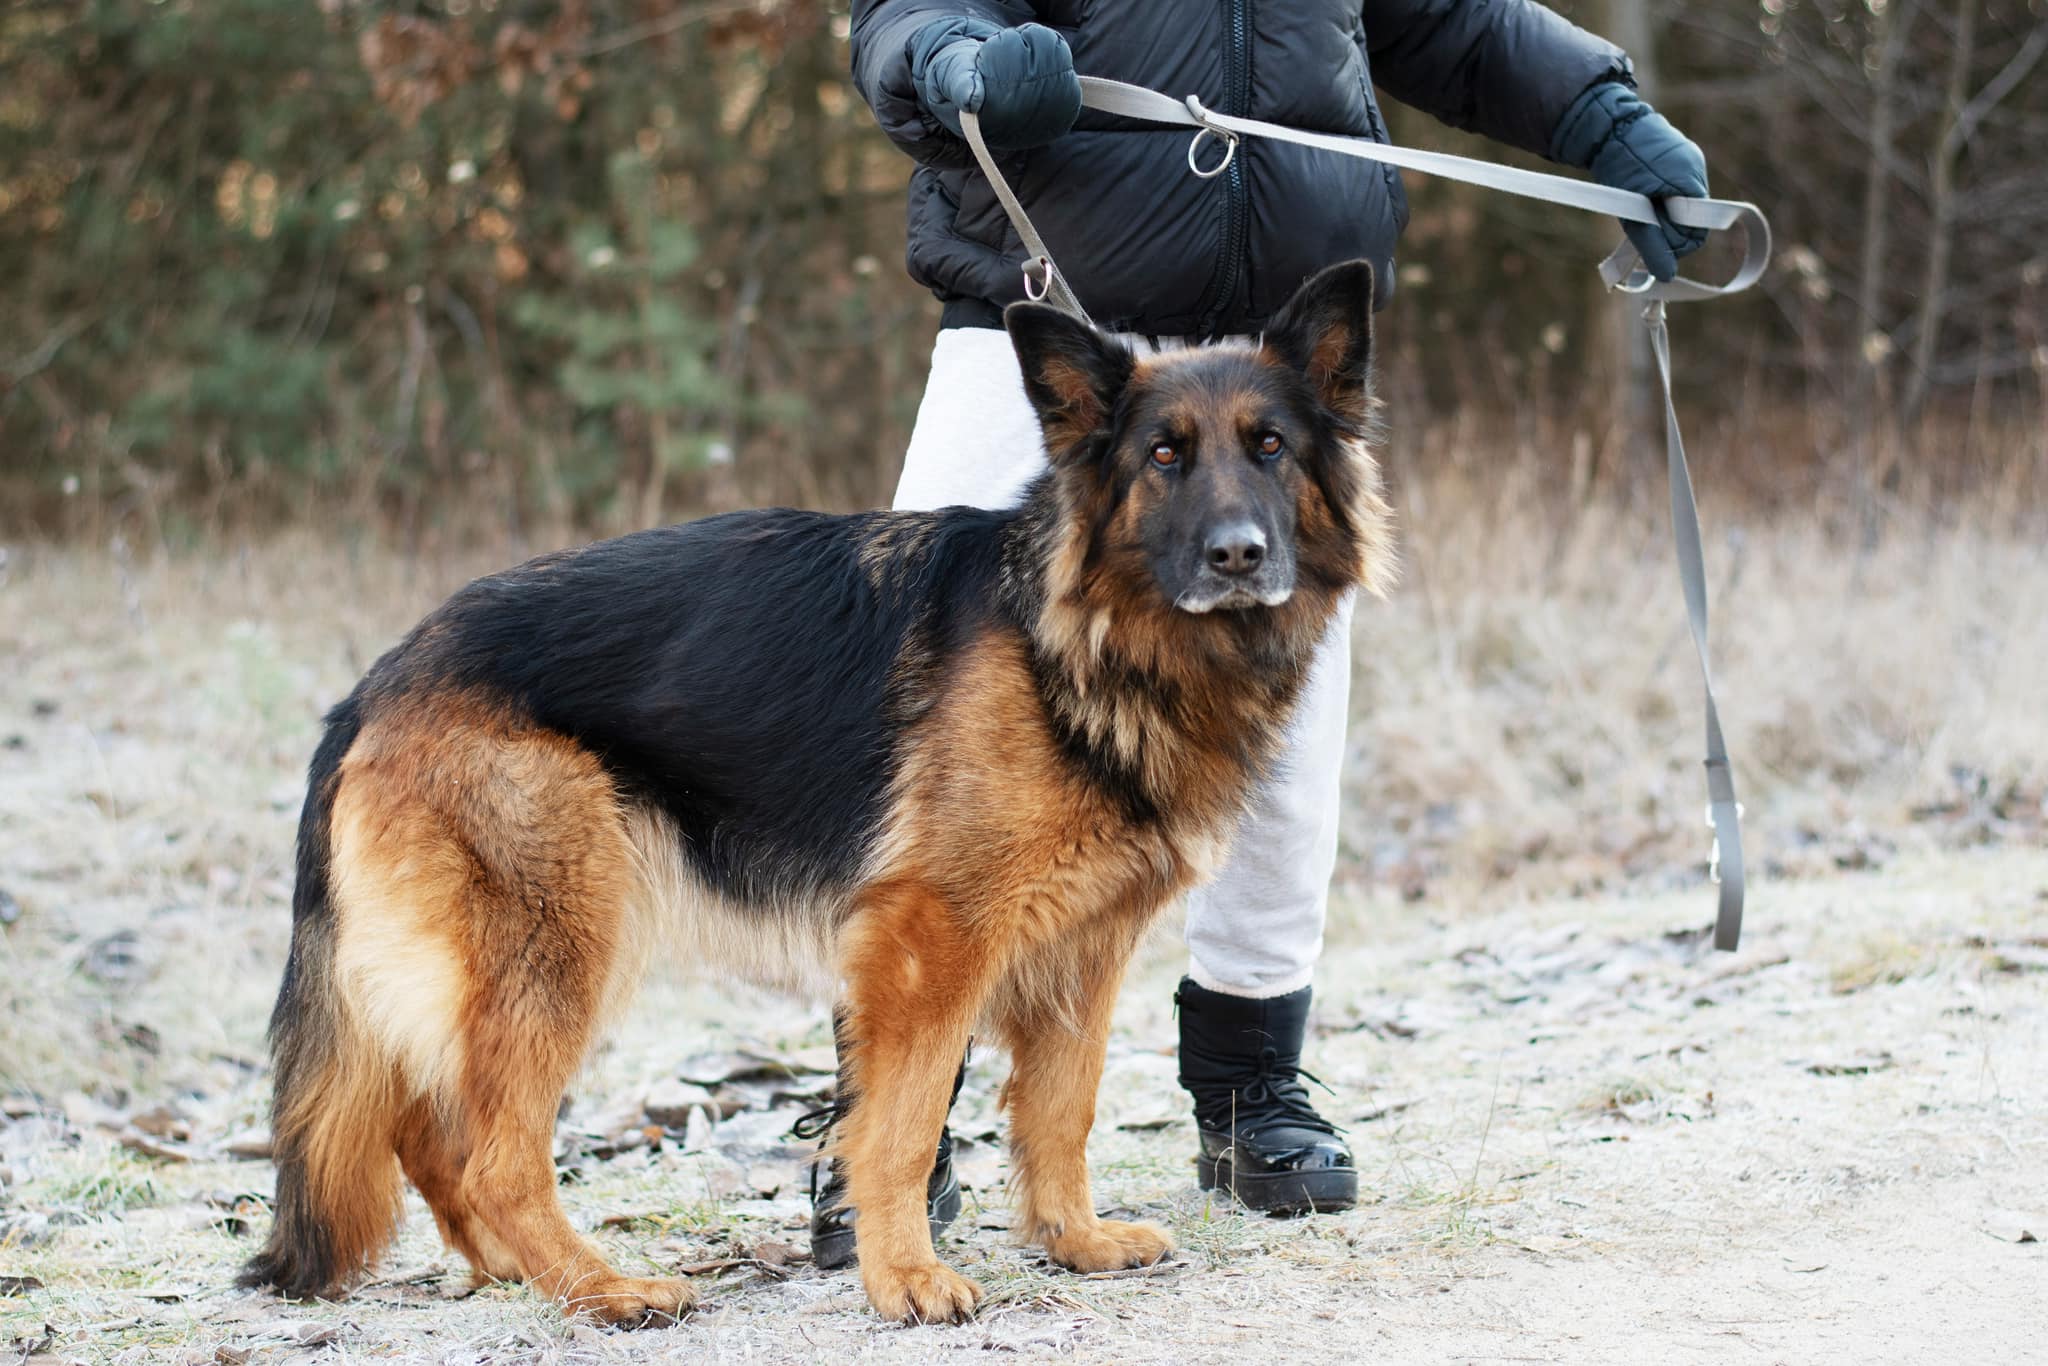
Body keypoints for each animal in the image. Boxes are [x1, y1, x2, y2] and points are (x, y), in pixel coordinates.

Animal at [239, 259, 1392, 1327]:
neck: (1078, 637)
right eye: (1163, 455)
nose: (1238, 555)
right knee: (487, 1153)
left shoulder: (1082, 946)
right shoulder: (931, 942)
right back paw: (598, 1286)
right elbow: (902, 1123)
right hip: (560, 944)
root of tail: (379, 680)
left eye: (1270, 447)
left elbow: (1062, 1105)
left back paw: (521, 1273)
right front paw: (906, 1276)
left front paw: (1070, 1238)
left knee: (426, 1135)